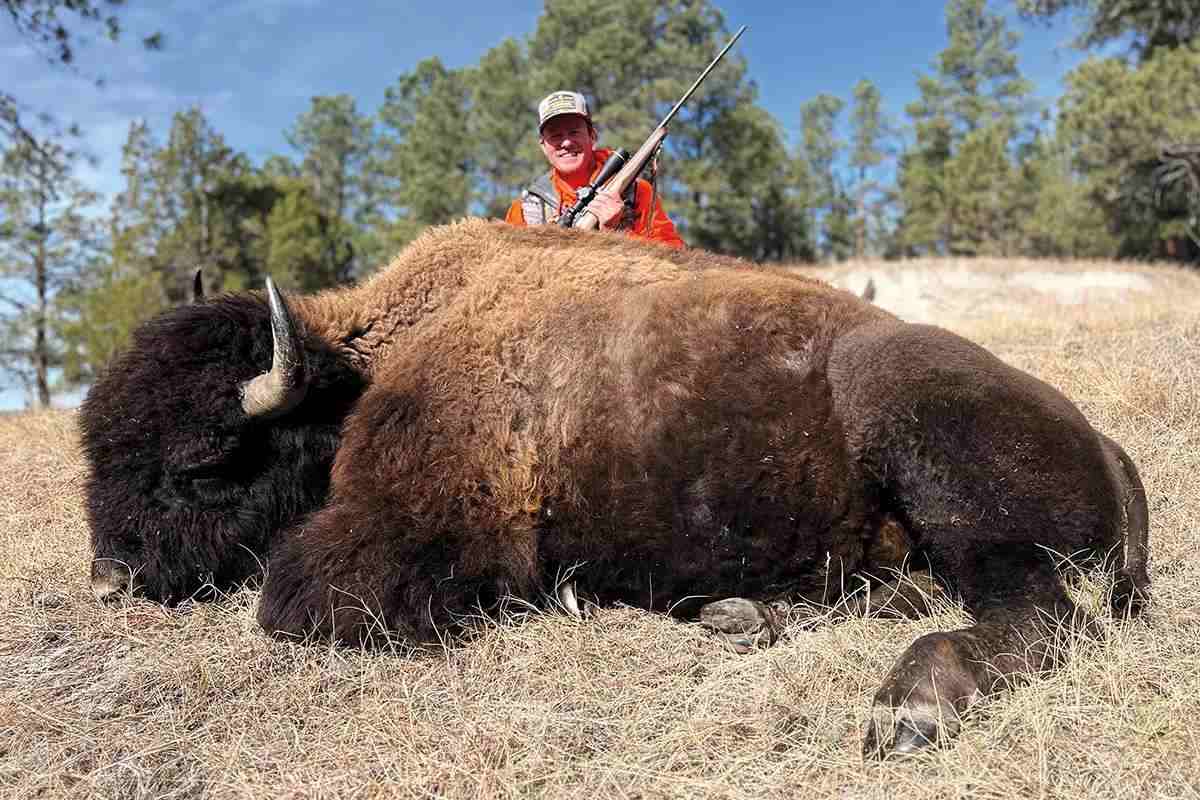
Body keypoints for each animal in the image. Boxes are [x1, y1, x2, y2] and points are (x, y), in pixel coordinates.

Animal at [81, 220, 1149, 757]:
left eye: (202, 466)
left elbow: (290, 601)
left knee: (1044, 614)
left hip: (927, 440)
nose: (110, 580)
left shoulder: (399, 539)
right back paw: (739, 615)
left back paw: (910, 706)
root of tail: (1105, 440)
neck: (367, 364)